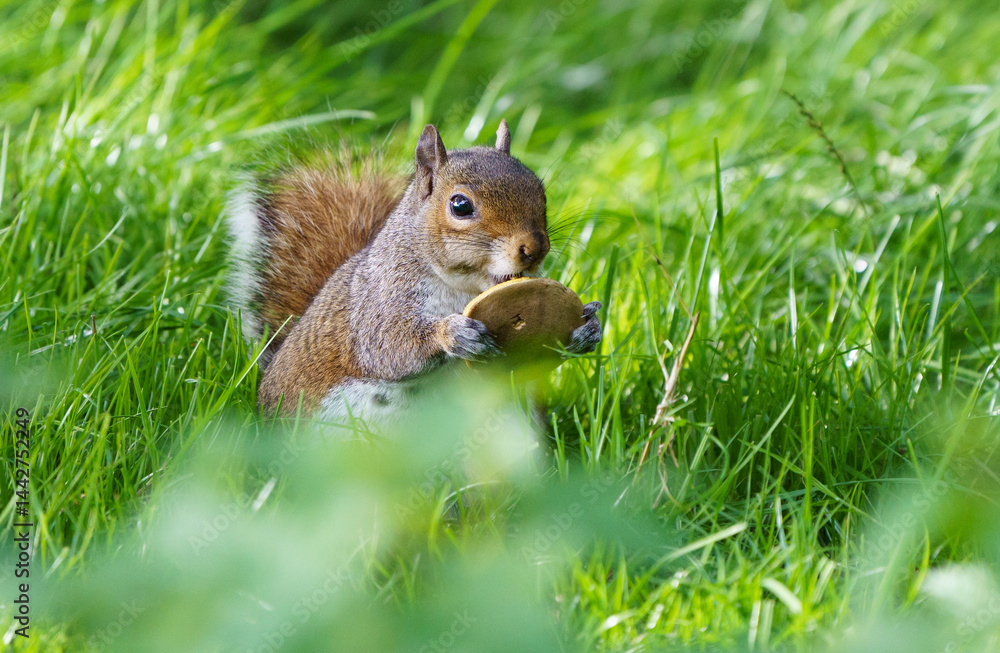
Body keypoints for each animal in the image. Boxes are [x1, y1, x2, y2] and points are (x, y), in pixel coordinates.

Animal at [225, 120, 602, 423]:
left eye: (541, 191)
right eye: (460, 205)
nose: (535, 249)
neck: (464, 288)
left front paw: (587, 327)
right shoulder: (380, 300)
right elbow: (388, 347)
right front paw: (452, 333)